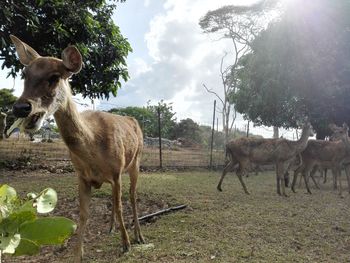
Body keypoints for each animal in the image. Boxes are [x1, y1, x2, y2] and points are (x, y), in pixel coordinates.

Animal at [9, 35, 144, 263]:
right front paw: (77, 253)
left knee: (133, 196)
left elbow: (120, 205)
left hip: (136, 161)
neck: (93, 149)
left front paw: (126, 245)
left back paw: (138, 236)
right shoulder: (81, 176)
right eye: (25, 75)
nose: (20, 107)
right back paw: (111, 228)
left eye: (54, 77)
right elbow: (83, 213)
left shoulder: (117, 172)